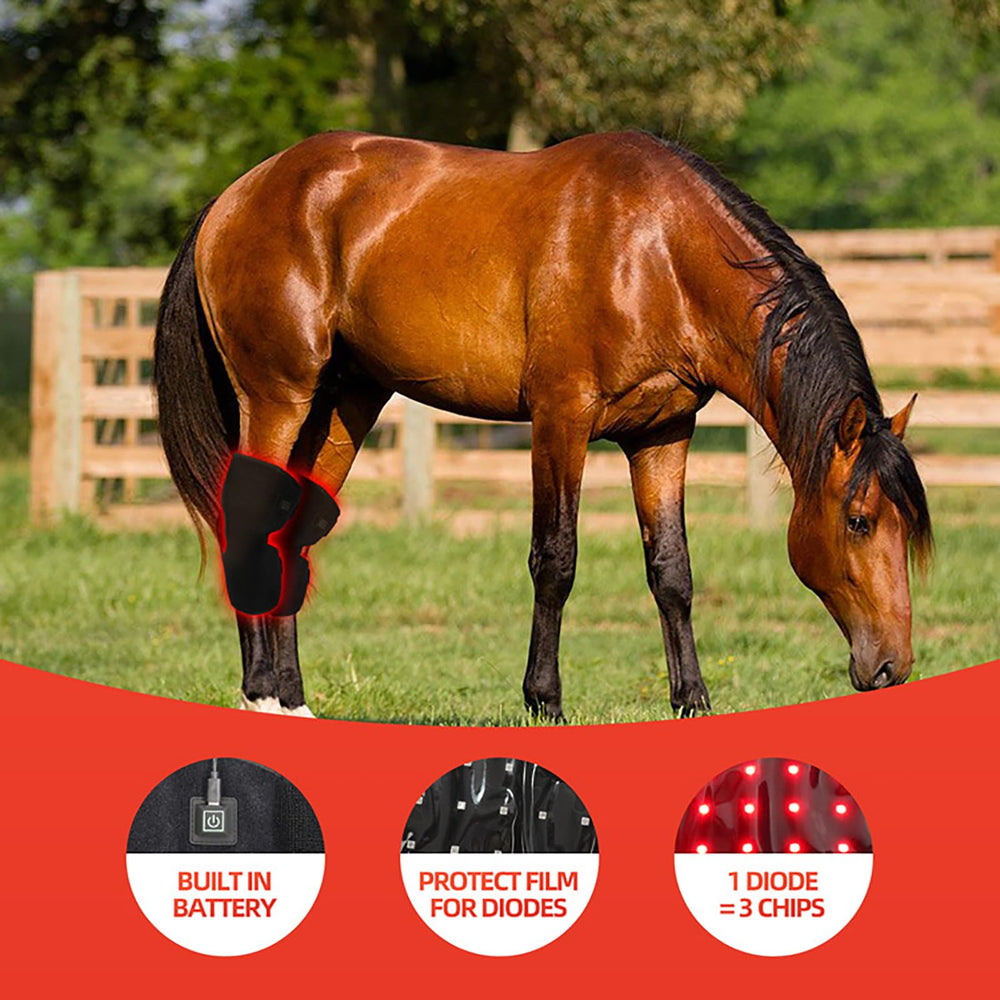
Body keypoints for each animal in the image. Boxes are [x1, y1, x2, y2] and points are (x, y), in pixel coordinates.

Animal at [153, 130, 932, 721]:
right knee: (250, 521)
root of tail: (233, 196)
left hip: (345, 403)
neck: (656, 252)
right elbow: (555, 561)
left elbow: (672, 571)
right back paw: (259, 694)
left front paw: (692, 700)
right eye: (859, 521)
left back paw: (293, 700)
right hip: (278, 398)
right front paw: (544, 700)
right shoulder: (561, 420)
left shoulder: (663, 435)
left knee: (291, 531)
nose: (891, 666)